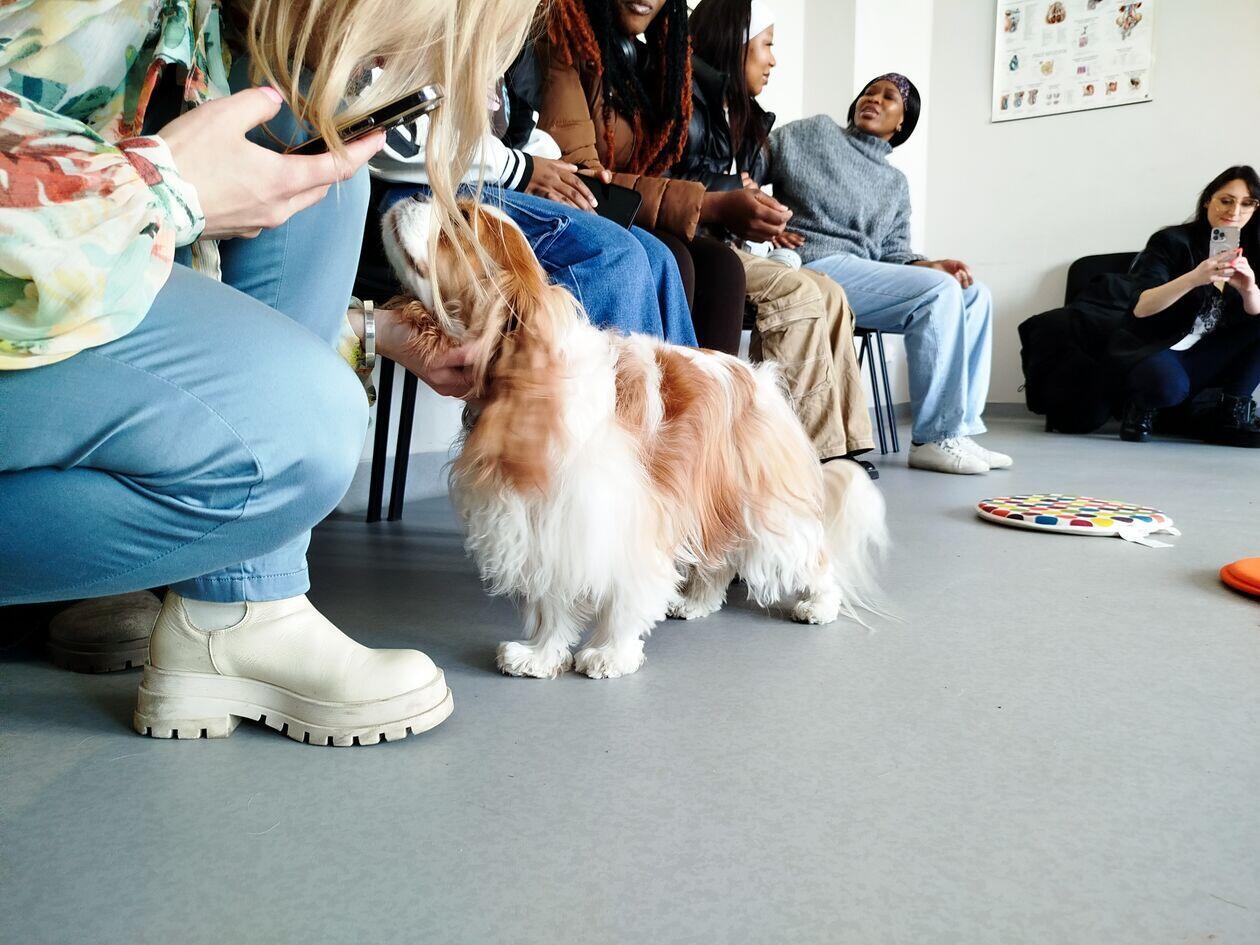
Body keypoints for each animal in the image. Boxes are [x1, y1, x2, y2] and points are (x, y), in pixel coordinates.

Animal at [381, 196, 888, 679]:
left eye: (458, 220)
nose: (413, 193)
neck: (534, 375)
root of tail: (759, 377)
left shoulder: (627, 518)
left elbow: (624, 597)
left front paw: (610, 654)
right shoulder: (551, 521)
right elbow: (552, 601)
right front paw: (541, 656)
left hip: (763, 506)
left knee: (812, 555)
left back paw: (819, 604)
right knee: (720, 558)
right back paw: (698, 602)